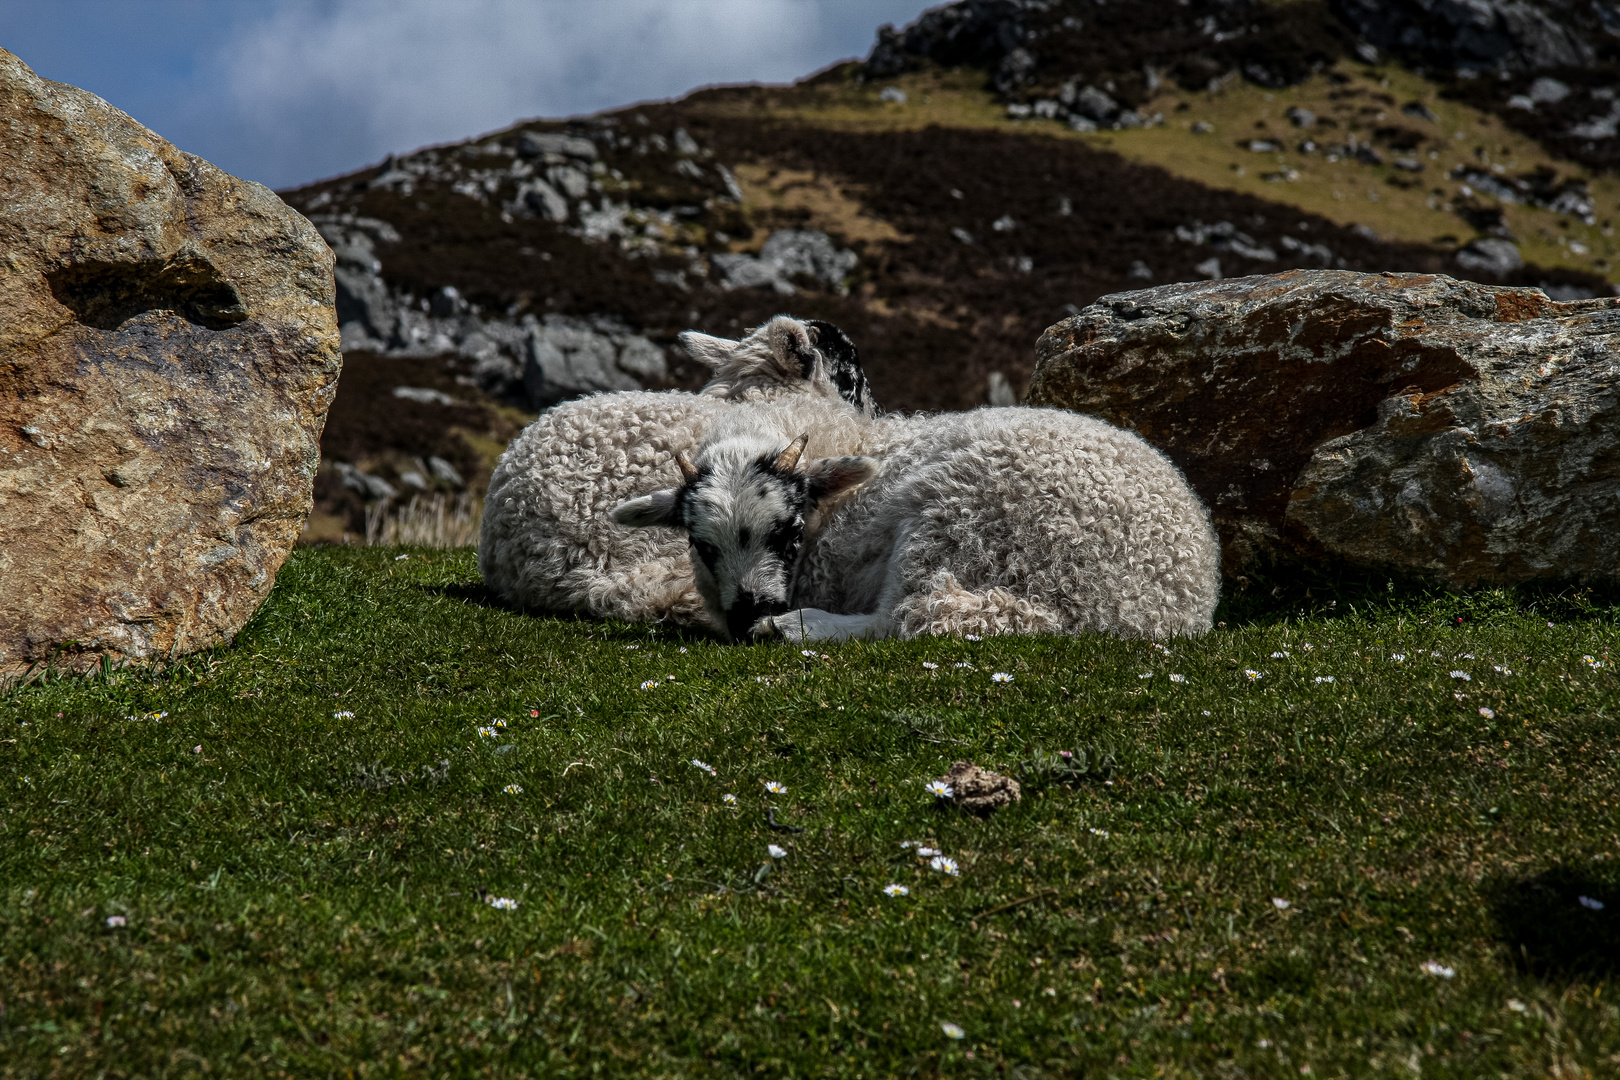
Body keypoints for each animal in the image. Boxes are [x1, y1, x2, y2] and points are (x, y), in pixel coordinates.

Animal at [612, 395, 1218, 641]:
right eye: (701, 545)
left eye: (789, 531)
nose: (748, 613)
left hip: (954, 516)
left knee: (900, 619)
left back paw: (793, 628)